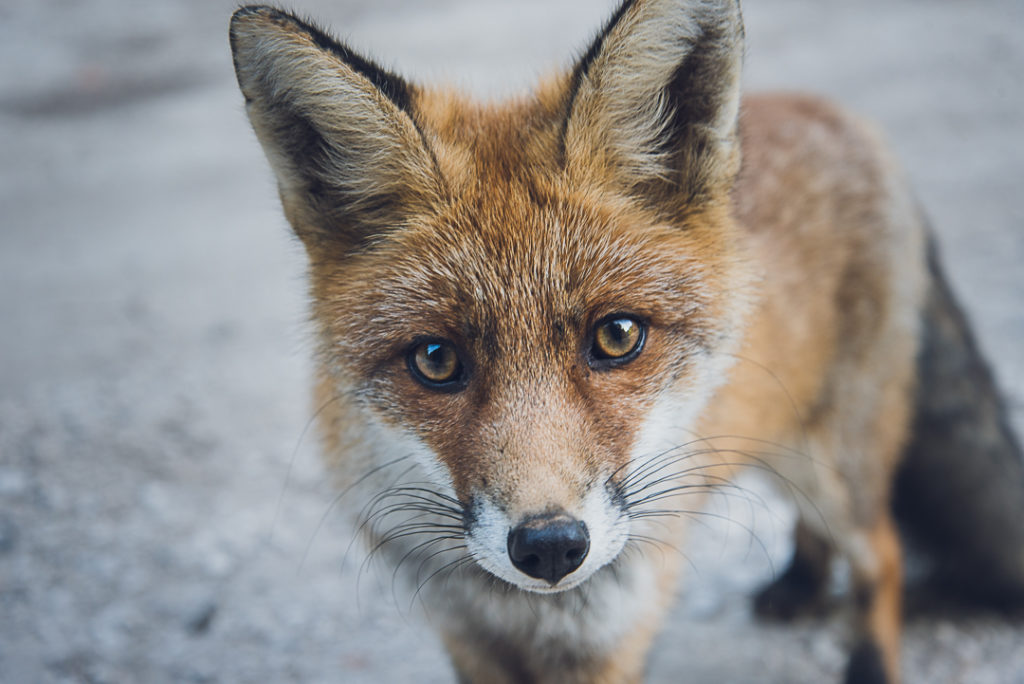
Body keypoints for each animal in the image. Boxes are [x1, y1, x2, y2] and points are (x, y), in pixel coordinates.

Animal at [230, 1, 1024, 684]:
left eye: (616, 337)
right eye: (435, 359)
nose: (550, 545)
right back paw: (798, 583)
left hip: (835, 458)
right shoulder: (465, 637)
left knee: (880, 554)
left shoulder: (612, 637)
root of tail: (835, 112)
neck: (532, 616)